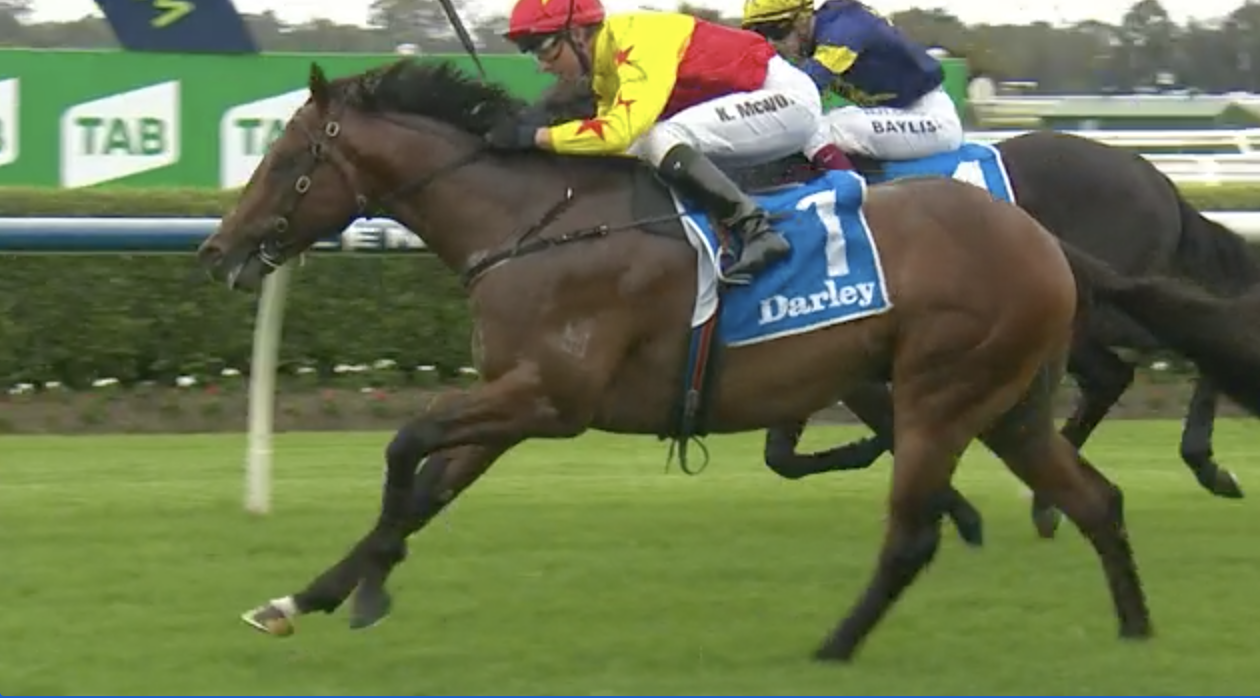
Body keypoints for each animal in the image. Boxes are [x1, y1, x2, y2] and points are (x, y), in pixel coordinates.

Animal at [195, 58, 1260, 661]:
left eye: (285, 161)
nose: (216, 250)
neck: (538, 224)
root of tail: (1040, 237)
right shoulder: (515, 398)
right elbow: (424, 486)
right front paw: (307, 597)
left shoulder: (549, 398)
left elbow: (402, 452)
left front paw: (367, 590)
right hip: (1009, 401)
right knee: (1095, 496)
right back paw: (1131, 626)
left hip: (948, 390)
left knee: (918, 529)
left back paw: (834, 646)